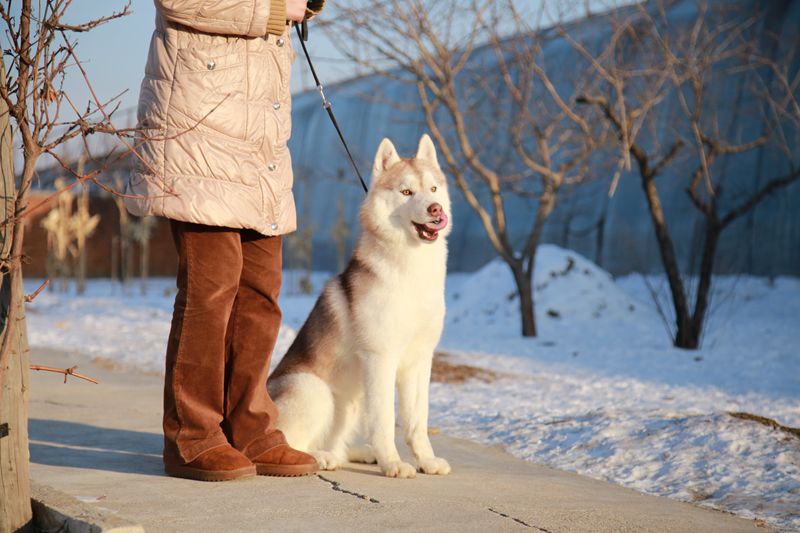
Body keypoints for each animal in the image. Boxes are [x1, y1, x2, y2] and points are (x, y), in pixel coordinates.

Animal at [268, 134, 452, 478]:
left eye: (433, 189)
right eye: (406, 192)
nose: (436, 209)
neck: (412, 269)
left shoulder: (420, 362)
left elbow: (416, 422)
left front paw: (426, 460)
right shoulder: (380, 360)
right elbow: (384, 421)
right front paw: (393, 463)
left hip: (351, 402)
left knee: (338, 442)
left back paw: (355, 453)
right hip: (314, 390)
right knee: (291, 442)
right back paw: (321, 458)